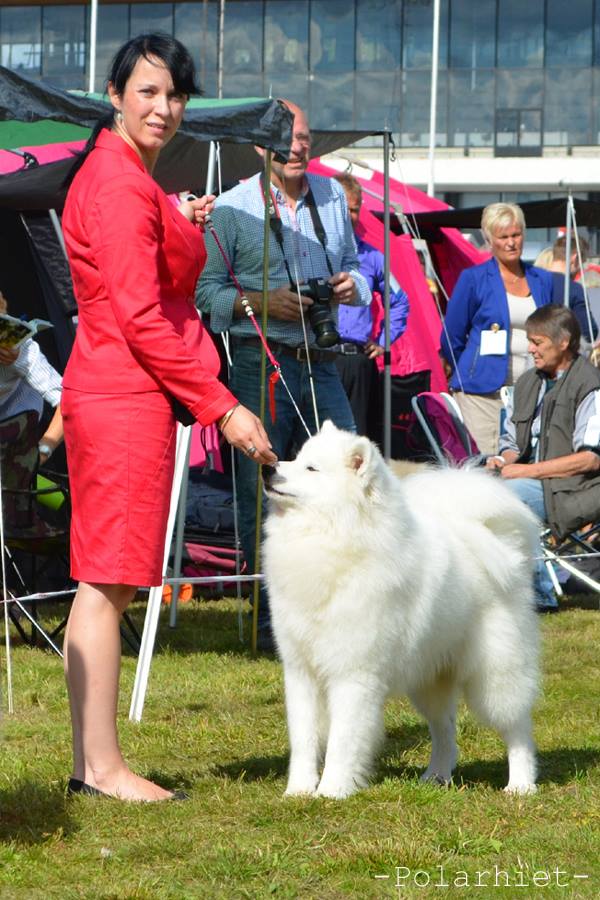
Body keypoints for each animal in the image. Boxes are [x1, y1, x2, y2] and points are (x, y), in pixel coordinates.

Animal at [262, 418, 540, 800]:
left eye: (311, 469)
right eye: (295, 458)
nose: (268, 468)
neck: (331, 539)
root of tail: (500, 544)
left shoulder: (353, 673)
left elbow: (342, 739)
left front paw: (332, 790)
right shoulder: (301, 671)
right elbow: (303, 739)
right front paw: (298, 791)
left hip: (494, 674)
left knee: (517, 728)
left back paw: (520, 785)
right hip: (429, 677)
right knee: (445, 730)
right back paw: (436, 777)